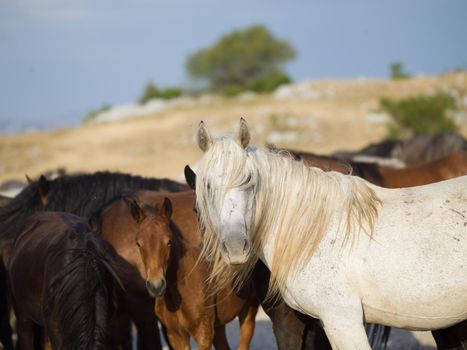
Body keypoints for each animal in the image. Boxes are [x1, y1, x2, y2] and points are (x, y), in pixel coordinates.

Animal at [97, 190, 260, 348]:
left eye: (169, 241)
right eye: (138, 243)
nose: (156, 286)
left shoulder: (203, 334)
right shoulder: (175, 334)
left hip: (248, 312)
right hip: (219, 324)